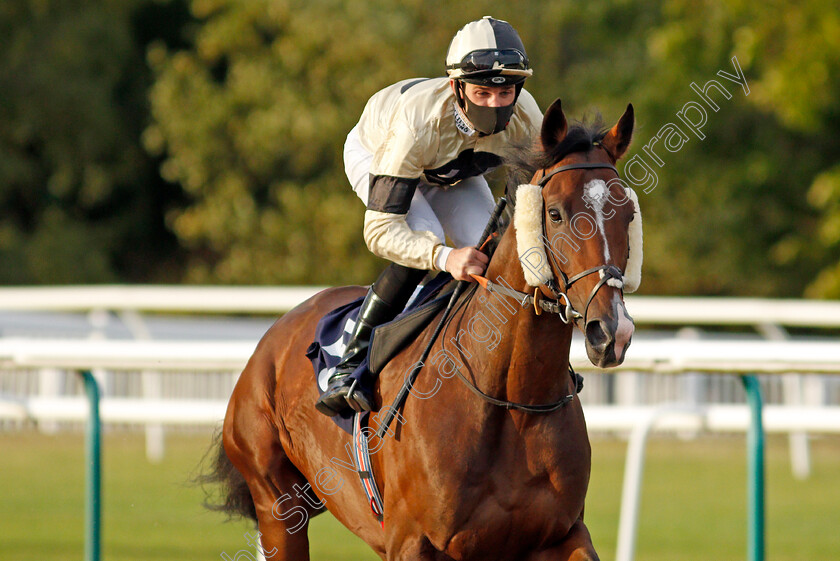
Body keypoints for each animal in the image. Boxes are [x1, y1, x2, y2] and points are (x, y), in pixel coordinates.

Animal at [212, 98, 644, 556]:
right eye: (556, 213)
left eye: (628, 213)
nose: (611, 332)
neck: (512, 400)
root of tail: (273, 338)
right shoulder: (411, 540)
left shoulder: (562, 533)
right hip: (276, 506)